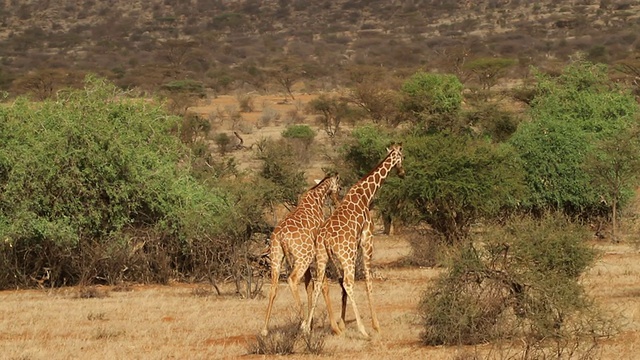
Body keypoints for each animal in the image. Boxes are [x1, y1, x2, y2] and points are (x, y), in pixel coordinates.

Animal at [262, 171, 342, 334]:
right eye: (340, 187)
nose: (338, 201)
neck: (317, 198)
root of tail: (281, 236)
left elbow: (309, 285)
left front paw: (311, 326)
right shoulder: (318, 252)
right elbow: (323, 285)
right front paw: (333, 327)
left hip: (276, 257)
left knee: (273, 288)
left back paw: (265, 329)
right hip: (304, 256)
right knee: (292, 279)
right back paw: (303, 323)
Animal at [302, 141, 404, 338]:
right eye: (403, 157)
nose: (403, 173)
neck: (366, 193)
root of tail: (325, 238)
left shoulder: (355, 246)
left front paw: (342, 323)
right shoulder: (367, 238)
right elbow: (367, 279)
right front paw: (376, 325)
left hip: (323, 257)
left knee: (319, 284)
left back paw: (307, 328)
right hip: (345, 255)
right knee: (348, 283)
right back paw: (363, 330)